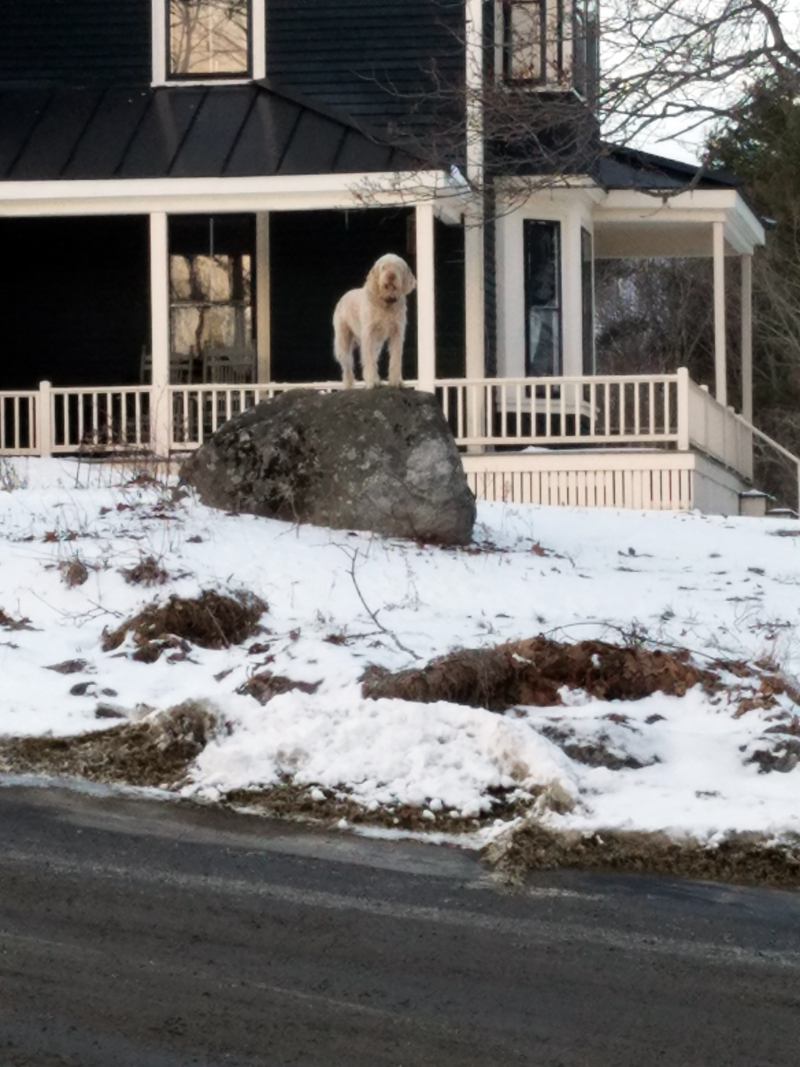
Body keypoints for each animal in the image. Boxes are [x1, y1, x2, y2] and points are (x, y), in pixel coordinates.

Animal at [332, 252, 416, 388]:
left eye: (398, 267)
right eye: (384, 267)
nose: (391, 276)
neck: (386, 302)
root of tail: (344, 295)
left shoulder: (397, 333)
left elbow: (395, 358)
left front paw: (396, 381)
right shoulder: (369, 333)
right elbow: (369, 359)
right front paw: (372, 382)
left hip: (377, 344)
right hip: (343, 340)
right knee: (347, 364)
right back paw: (349, 384)